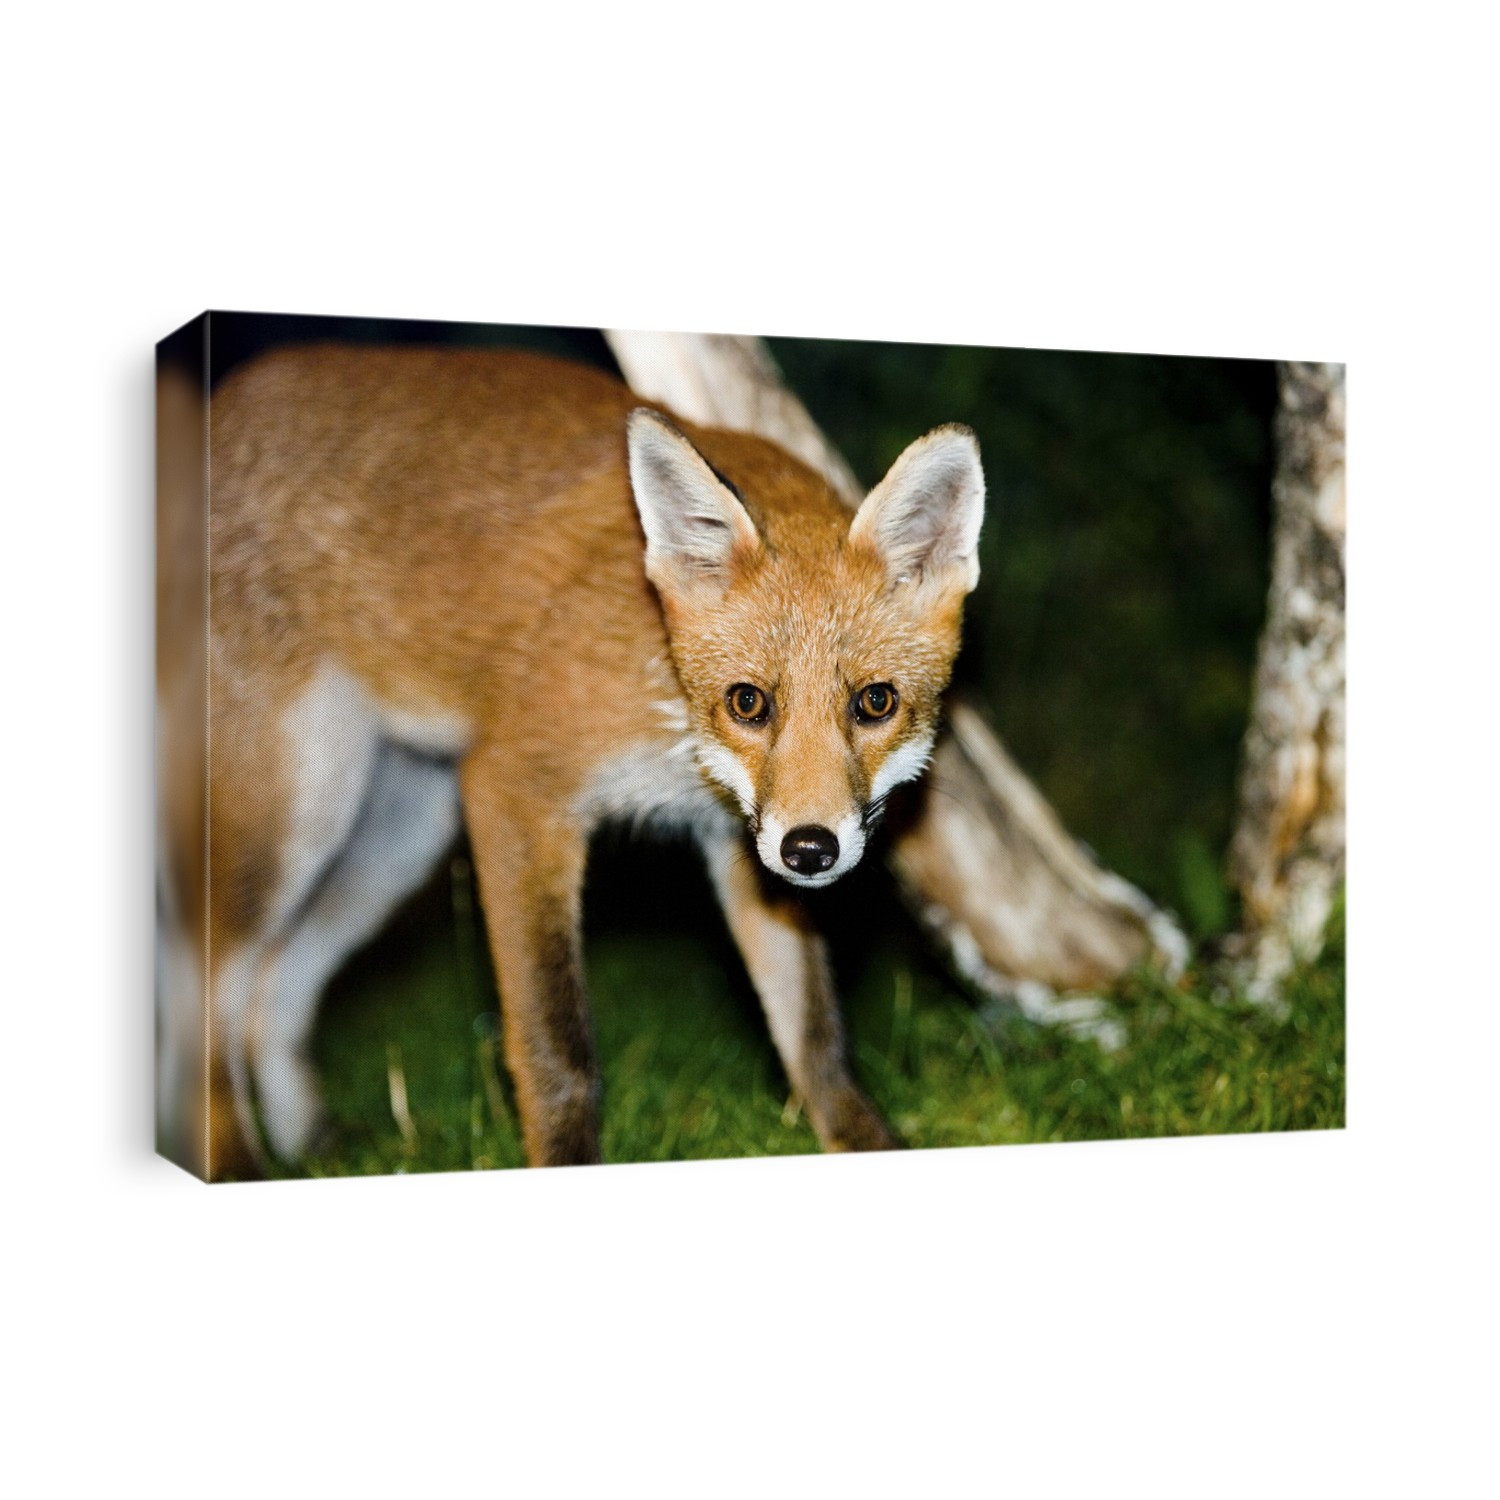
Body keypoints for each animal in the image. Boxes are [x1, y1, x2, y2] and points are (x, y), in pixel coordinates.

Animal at [156, 343, 986, 1178]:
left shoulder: (738, 836)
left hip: (394, 841)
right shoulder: (517, 788)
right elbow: (556, 1047)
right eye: (749, 702)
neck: (667, 695)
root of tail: (226, 405)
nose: (810, 852)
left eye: (875, 703)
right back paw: (234, 1161)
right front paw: (564, 1161)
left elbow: (814, 1038)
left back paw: (307, 1145)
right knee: (206, 992)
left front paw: (867, 1145)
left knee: (273, 988)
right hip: (295, 816)